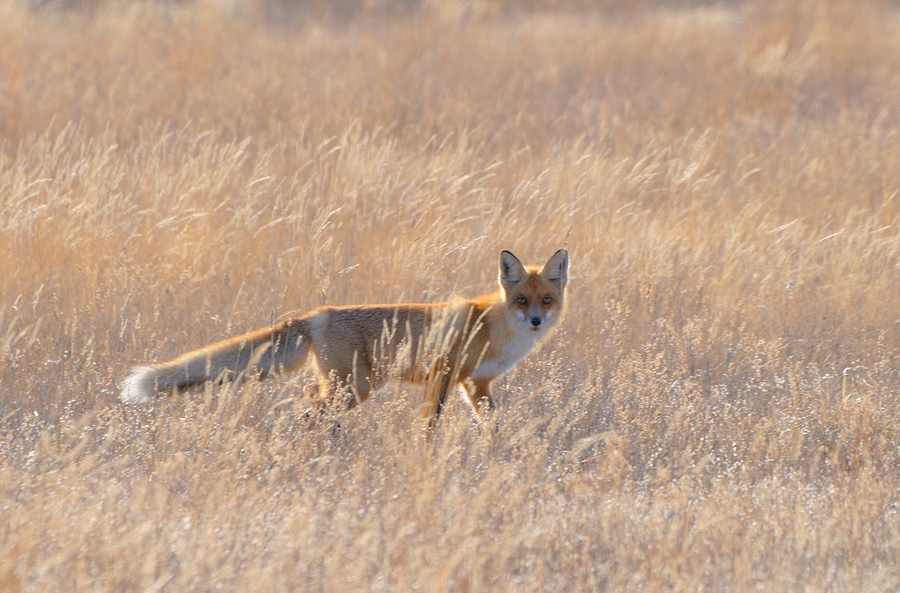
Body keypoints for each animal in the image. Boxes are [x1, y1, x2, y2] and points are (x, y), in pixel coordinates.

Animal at [120, 249, 568, 426]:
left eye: (546, 300)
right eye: (522, 300)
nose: (535, 321)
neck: (495, 326)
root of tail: (317, 315)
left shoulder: (476, 383)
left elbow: (491, 425)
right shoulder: (443, 374)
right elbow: (429, 426)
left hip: (346, 387)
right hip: (355, 386)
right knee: (306, 412)